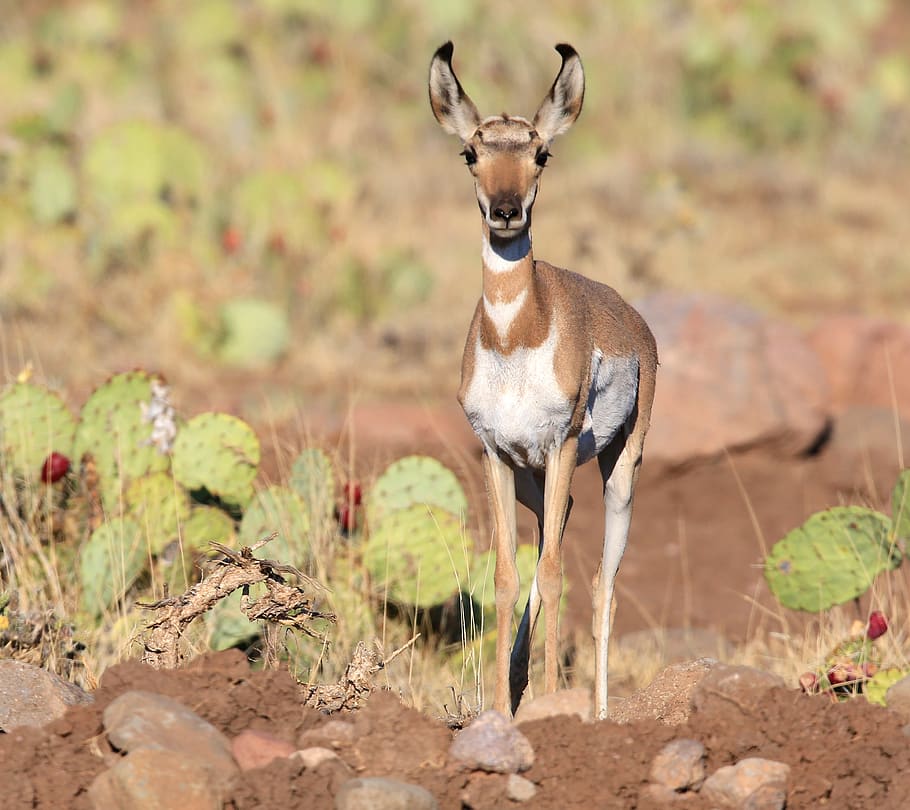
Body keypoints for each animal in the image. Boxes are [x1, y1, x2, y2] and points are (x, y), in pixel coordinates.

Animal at [432, 41, 660, 716]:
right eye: (471, 152)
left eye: (541, 153)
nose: (506, 213)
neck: (517, 338)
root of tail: (633, 320)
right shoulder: (498, 455)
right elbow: (509, 574)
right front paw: (497, 708)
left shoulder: (559, 447)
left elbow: (557, 573)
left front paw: (553, 701)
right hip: (537, 482)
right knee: (552, 551)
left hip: (619, 469)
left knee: (603, 581)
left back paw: (598, 709)